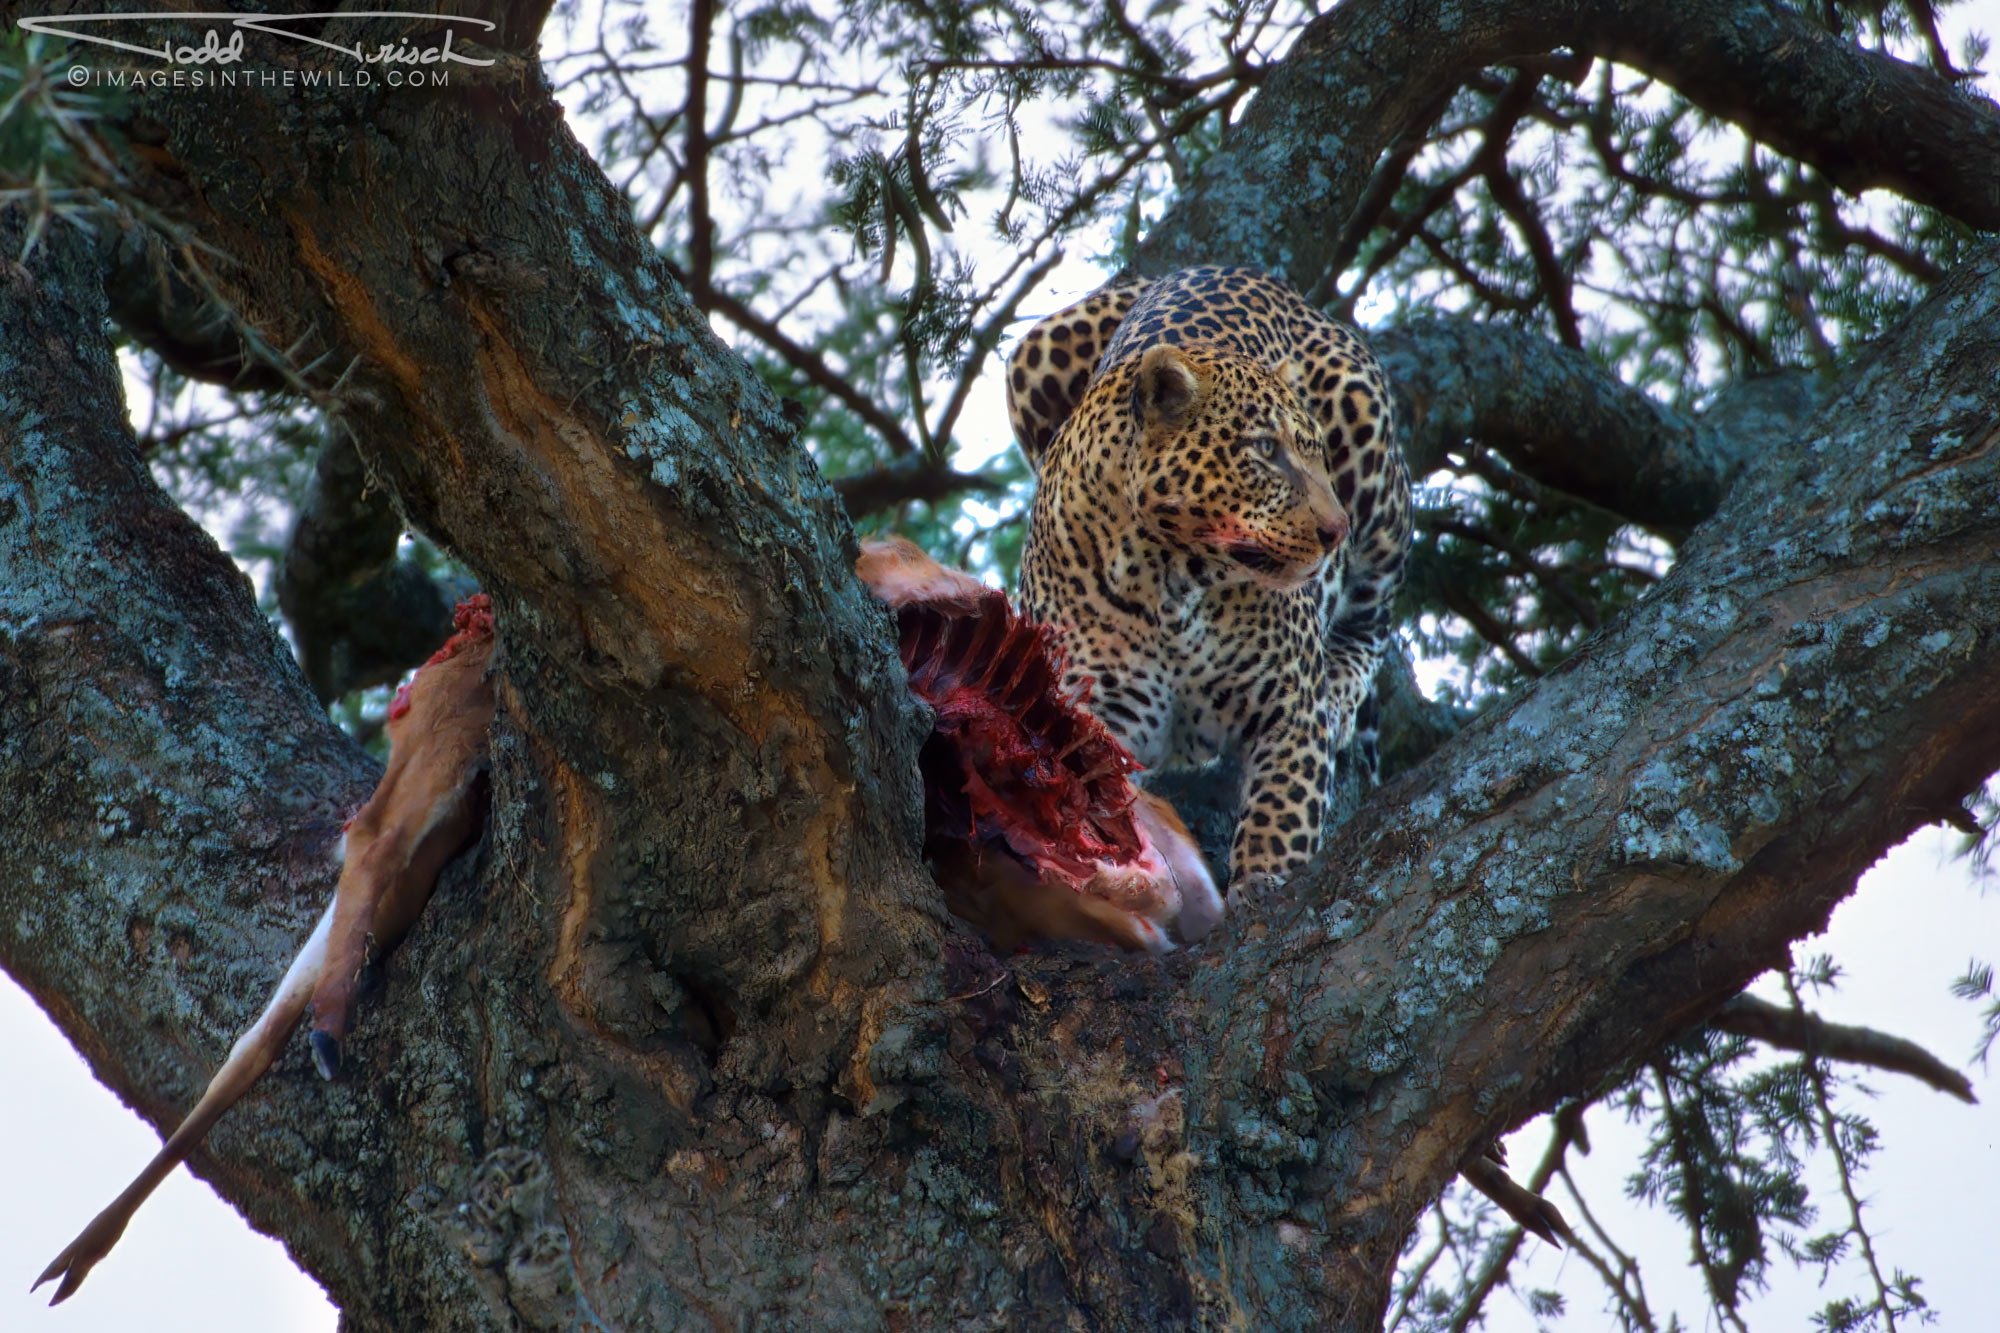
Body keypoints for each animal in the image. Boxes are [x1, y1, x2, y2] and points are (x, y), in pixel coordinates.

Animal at [1008, 264, 1416, 892]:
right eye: (1265, 450)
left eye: (1316, 452)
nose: (1335, 530)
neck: (1167, 578)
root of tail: (1233, 268)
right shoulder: (1102, 721)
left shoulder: (1289, 708)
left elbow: (1281, 813)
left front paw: (1263, 886)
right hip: (1030, 356)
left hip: (1369, 442)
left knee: (1376, 606)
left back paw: (1342, 685)